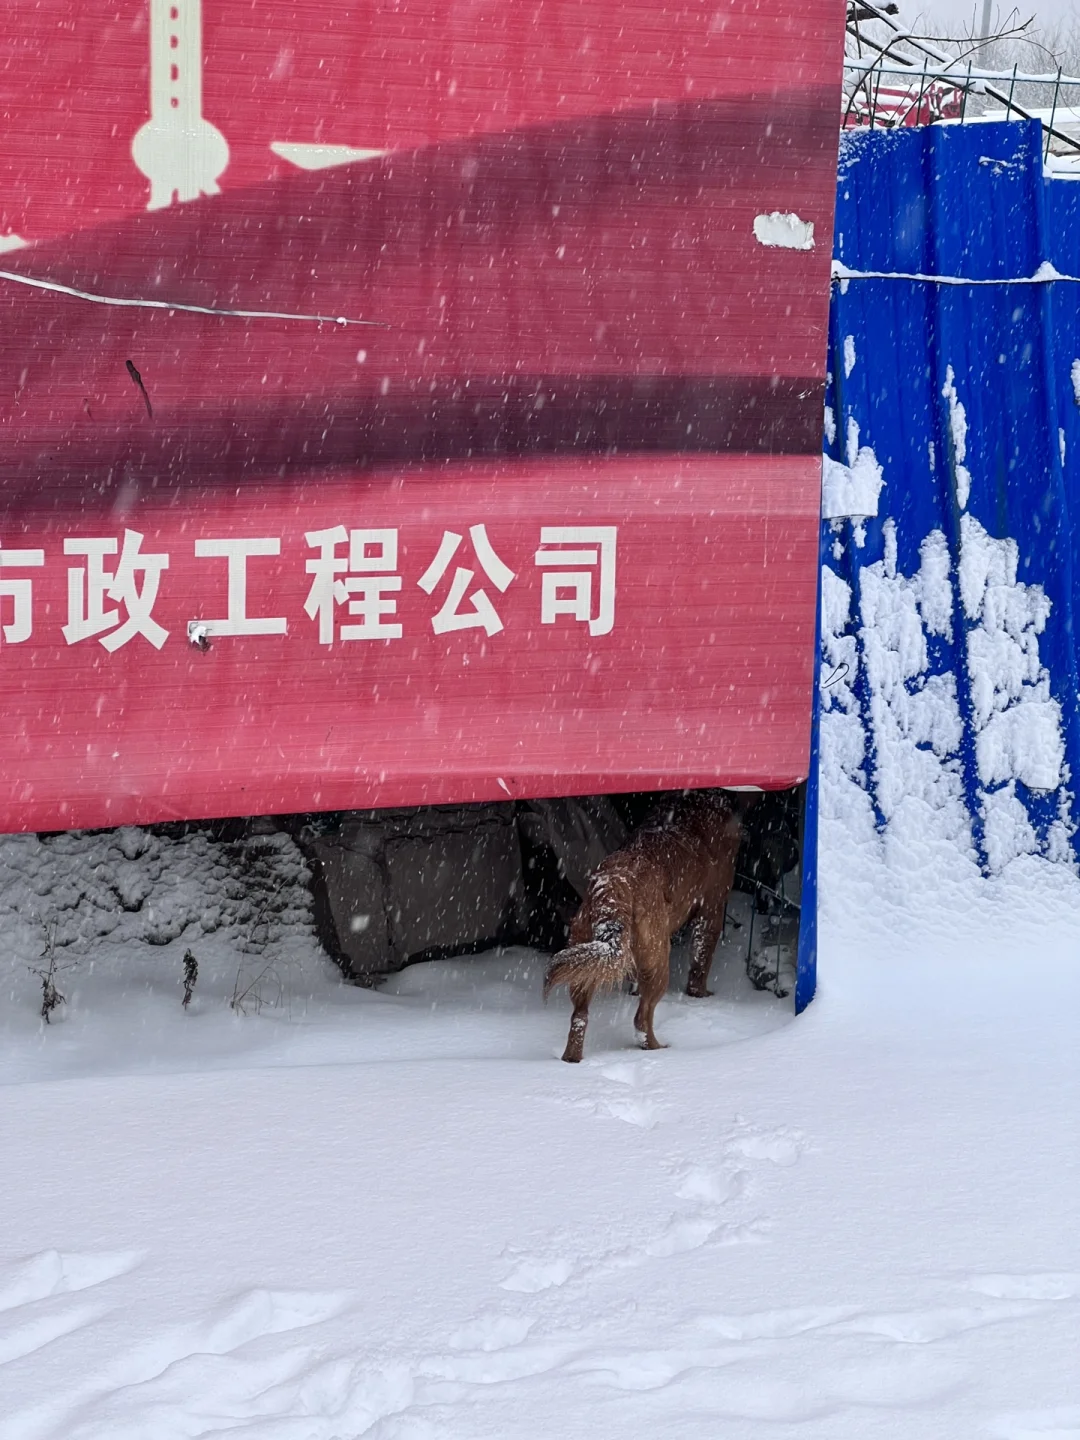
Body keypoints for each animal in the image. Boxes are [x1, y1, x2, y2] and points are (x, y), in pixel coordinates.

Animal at [544, 794, 748, 1065]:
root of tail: (613, 887)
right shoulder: (711, 911)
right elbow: (700, 965)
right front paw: (701, 995)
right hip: (659, 958)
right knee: (642, 1019)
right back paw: (658, 1048)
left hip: (583, 958)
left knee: (579, 1017)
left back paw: (571, 1060)